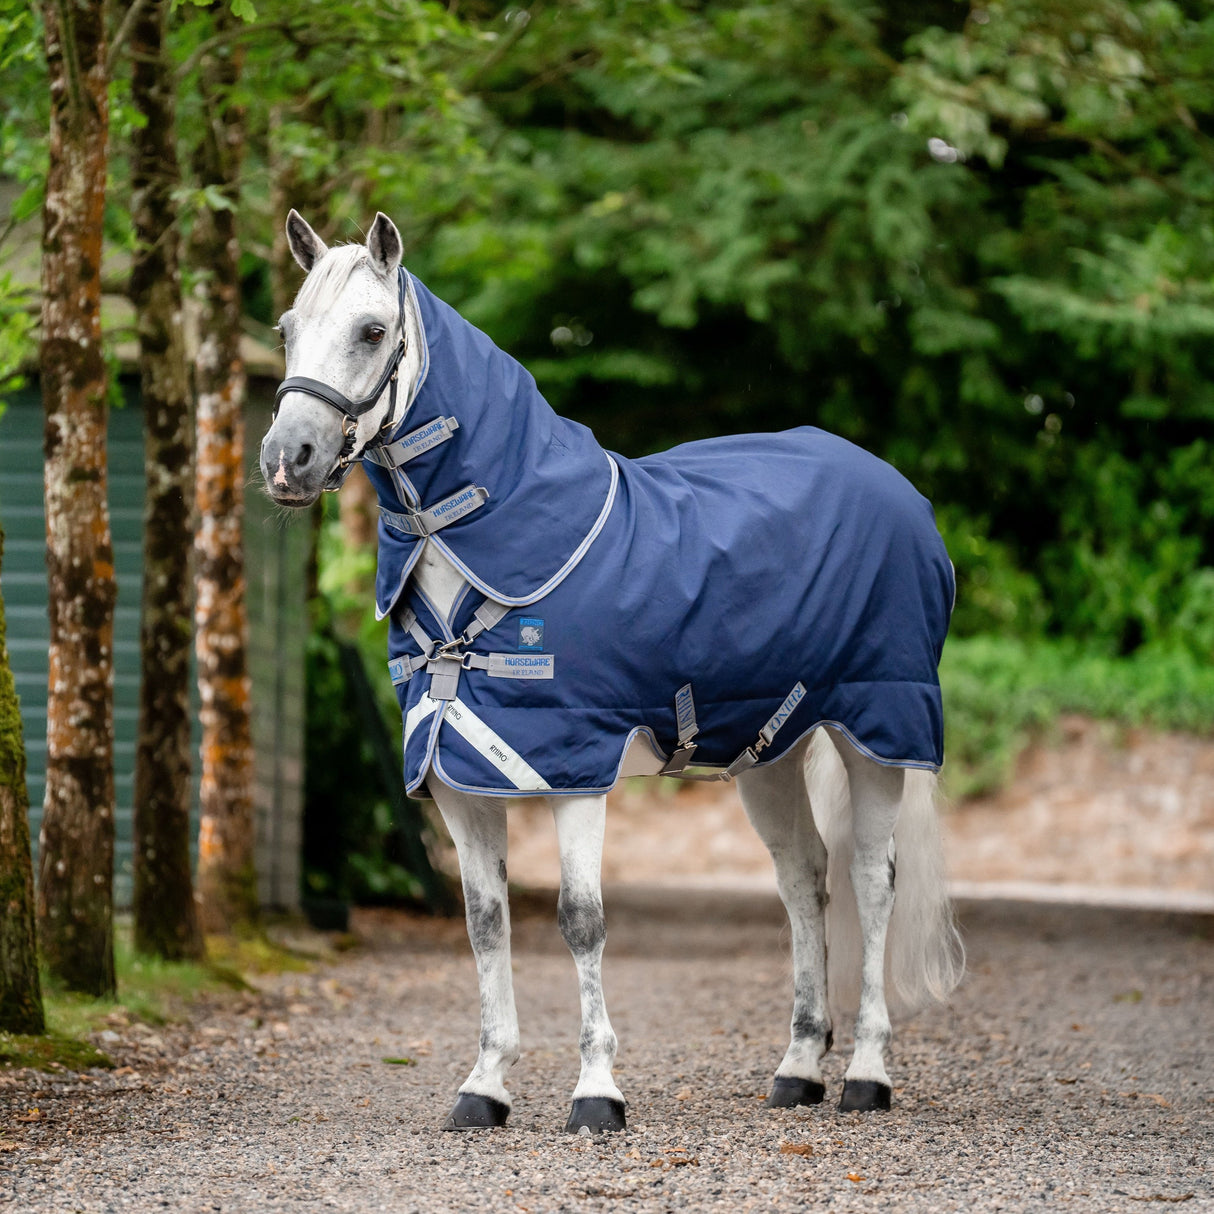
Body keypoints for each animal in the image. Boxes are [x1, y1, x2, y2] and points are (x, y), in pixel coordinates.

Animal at [261, 210, 964, 1134]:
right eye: (287, 329)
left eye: (372, 331)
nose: (288, 460)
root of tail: (899, 492)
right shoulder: (456, 776)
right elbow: (485, 924)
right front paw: (484, 1085)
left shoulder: (573, 770)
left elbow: (581, 921)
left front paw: (596, 1091)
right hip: (770, 753)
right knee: (803, 881)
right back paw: (799, 1069)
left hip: (877, 733)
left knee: (871, 882)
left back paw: (866, 1076)